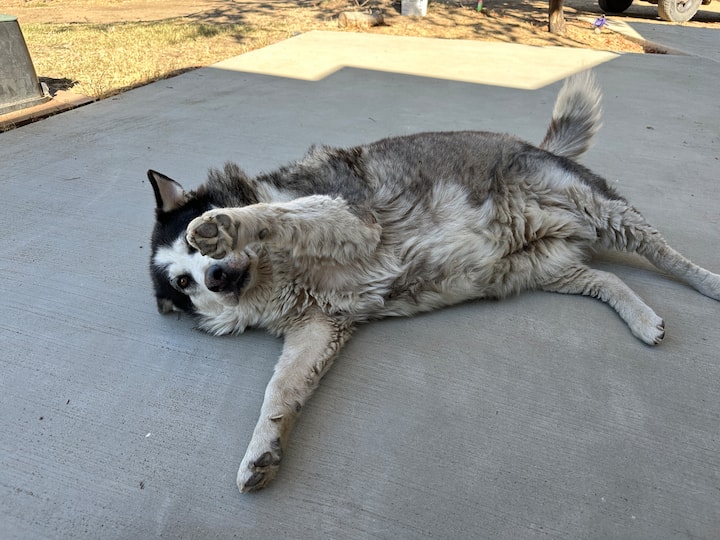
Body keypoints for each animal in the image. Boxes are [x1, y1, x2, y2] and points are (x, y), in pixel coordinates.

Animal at [148, 72, 720, 493]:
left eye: (196, 258)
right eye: (185, 283)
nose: (216, 276)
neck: (276, 273)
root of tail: (535, 146)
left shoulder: (351, 218)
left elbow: (277, 214)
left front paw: (225, 223)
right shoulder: (319, 326)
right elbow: (280, 388)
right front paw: (262, 448)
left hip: (602, 211)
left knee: (664, 253)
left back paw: (708, 282)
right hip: (540, 266)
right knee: (603, 277)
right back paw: (640, 318)